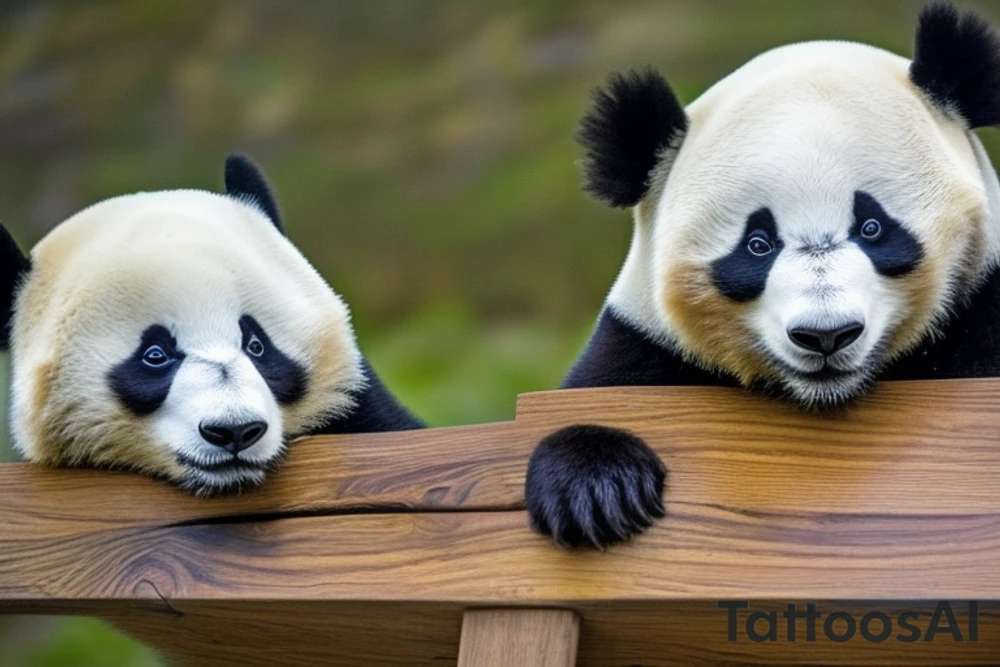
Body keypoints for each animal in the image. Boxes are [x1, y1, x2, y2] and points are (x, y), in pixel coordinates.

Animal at [526, 2, 1000, 548]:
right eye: (758, 244)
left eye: (872, 227)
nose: (826, 335)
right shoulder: (645, 343)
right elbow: (592, 400)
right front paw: (597, 490)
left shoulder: (982, 307)